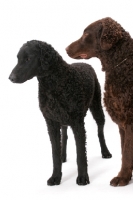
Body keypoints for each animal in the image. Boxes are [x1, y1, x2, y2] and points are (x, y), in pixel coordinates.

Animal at [9, 40, 111, 186]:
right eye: (18, 59)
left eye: (28, 59)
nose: (10, 78)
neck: (55, 82)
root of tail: (85, 63)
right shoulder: (51, 123)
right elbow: (55, 154)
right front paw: (56, 177)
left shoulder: (78, 123)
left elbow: (81, 154)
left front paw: (83, 177)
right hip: (63, 120)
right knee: (65, 136)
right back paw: (64, 157)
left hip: (97, 108)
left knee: (100, 132)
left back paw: (105, 152)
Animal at [66, 17, 133, 186]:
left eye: (86, 34)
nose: (66, 48)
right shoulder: (122, 125)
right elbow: (124, 152)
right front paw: (126, 176)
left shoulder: (129, 121)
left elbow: (127, 153)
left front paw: (122, 177)